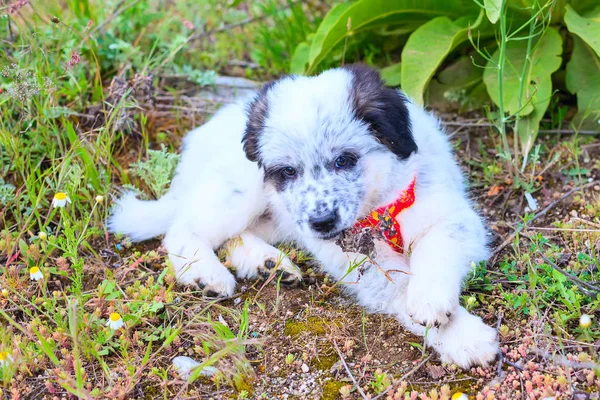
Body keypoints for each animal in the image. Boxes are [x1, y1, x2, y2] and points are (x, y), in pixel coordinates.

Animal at [110, 64, 500, 368]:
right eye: (288, 171)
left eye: (344, 160)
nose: (322, 223)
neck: (379, 209)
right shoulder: (358, 263)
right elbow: (400, 287)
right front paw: (464, 337)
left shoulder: (453, 218)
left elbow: (435, 254)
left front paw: (432, 301)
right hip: (244, 192)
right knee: (181, 229)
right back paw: (208, 274)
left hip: (279, 217)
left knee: (234, 235)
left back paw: (268, 263)